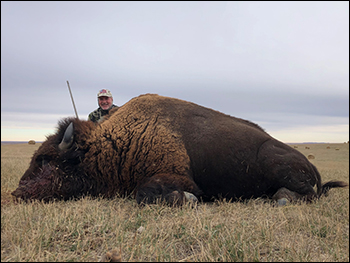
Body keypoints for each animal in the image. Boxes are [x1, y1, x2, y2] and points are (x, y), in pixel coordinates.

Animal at [11, 94, 348, 205]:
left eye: (46, 160)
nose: (17, 191)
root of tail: (311, 164)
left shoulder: (174, 176)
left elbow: (145, 195)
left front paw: (188, 200)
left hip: (280, 166)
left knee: (303, 194)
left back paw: (280, 198)